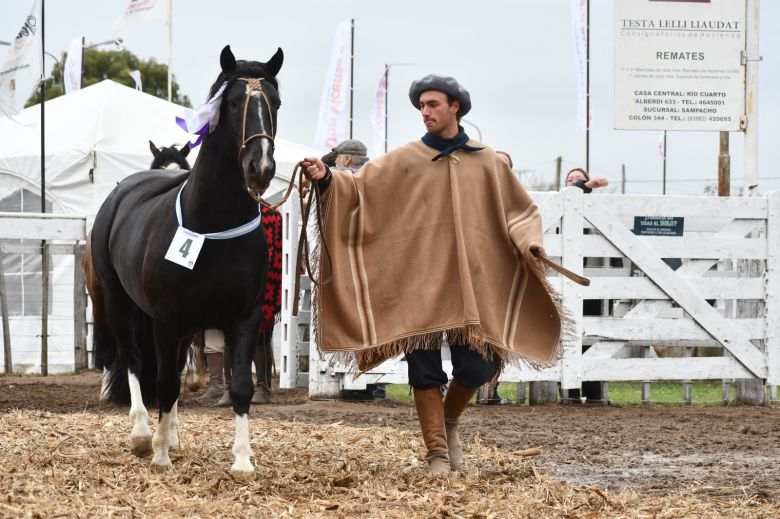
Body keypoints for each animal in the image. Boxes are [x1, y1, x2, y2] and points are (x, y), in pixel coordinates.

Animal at [89, 45, 284, 476]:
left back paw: (172, 434)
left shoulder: (243, 318)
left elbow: (239, 386)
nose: (261, 167)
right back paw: (142, 434)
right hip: (119, 303)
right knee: (133, 360)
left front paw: (242, 460)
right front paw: (159, 453)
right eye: (233, 103)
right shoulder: (166, 318)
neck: (212, 225)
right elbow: (163, 383)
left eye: (275, 103)